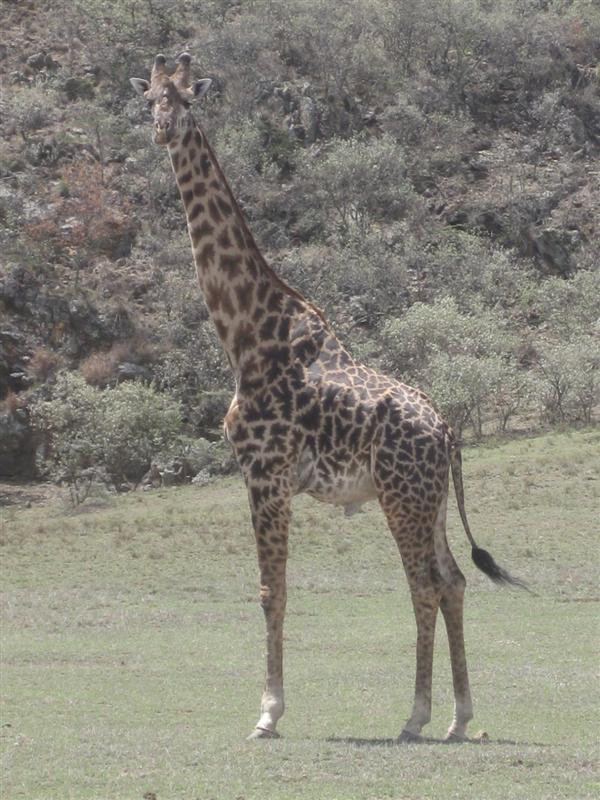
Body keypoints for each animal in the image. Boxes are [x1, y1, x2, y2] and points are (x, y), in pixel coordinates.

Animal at [131, 53, 527, 742]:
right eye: (149, 97)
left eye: (186, 98)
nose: (162, 129)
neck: (245, 335)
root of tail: (448, 432)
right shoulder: (268, 478)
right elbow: (275, 590)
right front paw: (270, 709)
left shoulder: (264, 472)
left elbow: (272, 591)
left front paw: (267, 714)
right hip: (431, 502)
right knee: (452, 581)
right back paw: (458, 718)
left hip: (402, 497)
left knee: (424, 586)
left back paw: (415, 717)